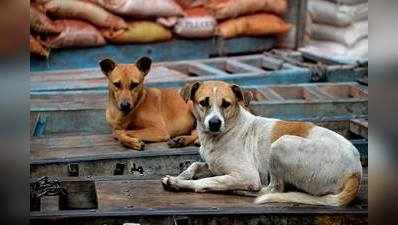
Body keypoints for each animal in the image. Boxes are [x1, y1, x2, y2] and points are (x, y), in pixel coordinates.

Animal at [162, 80, 364, 206]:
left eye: (226, 104)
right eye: (204, 102)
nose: (214, 123)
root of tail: (356, 171)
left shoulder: (247, 175)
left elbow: (205, 181)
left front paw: (177, 182)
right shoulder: (212, 164)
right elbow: (196, 165)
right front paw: (183, 175)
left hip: (280, 144)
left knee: (273, 189)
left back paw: (241, 191)